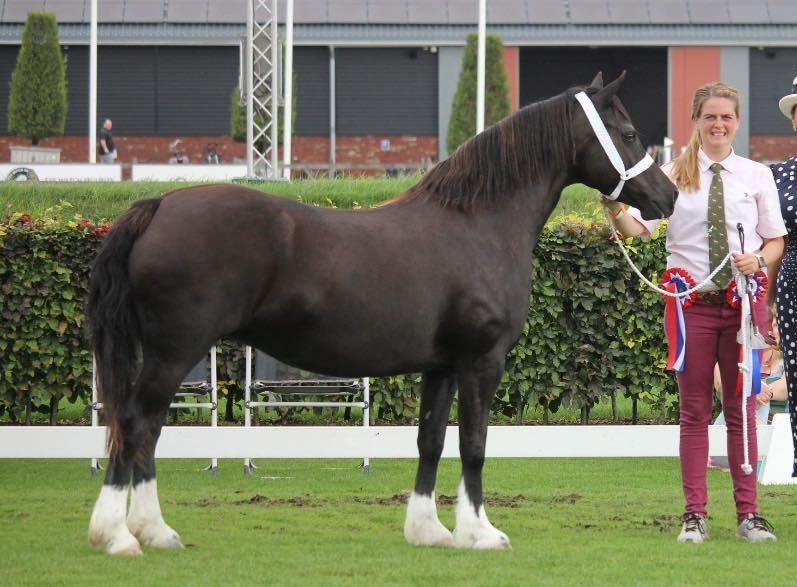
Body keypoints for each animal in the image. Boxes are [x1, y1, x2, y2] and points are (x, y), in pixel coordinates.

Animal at [86, 72, 677, 555]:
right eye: (628, 134)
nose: (668, 197)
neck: (478, 222)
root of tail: (158, 206)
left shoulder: (441, 366)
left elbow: (430, 441)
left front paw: (429, 530)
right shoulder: (481, 360)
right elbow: (474, 442)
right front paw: (480, 532)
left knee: (143, 427)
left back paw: (144, 531)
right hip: (174, 351)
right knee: (137, 423)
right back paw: (125, 535)